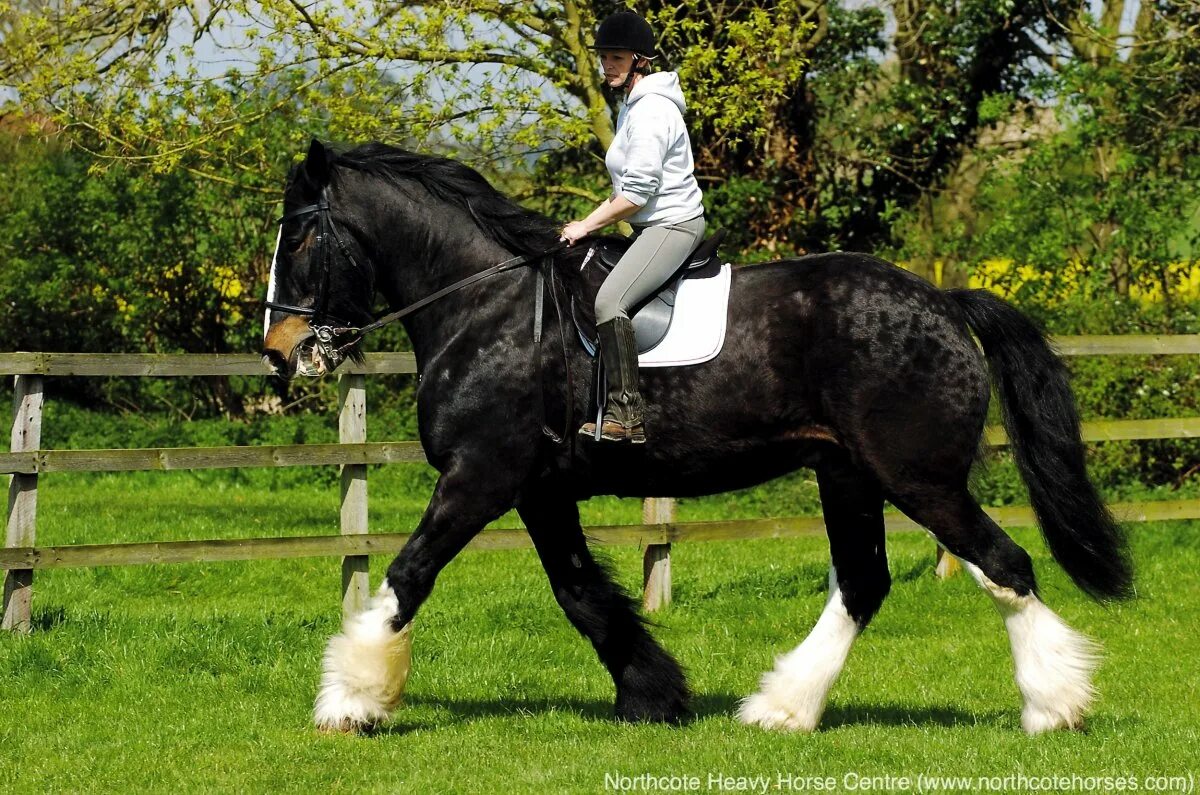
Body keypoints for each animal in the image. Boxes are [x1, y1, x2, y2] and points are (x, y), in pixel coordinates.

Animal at [258, 139, 1128, 739]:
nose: (279, 351)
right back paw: (782, 707)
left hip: (919, 477)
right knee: (863, 582)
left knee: (1005, 565)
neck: (489, 309)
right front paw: (655, 694)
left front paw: (350, 700)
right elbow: (582, 593)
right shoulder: (539, 489)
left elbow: (408, 575)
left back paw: (1055, 706)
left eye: (297, 239)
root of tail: (944, 303)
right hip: (846, 474)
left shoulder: (480, 476)